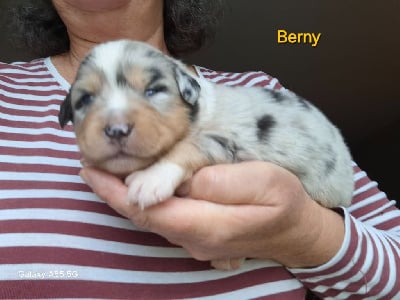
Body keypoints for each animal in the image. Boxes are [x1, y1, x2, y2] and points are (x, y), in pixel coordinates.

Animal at [58, 39, 354, 270]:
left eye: (153, 90)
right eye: (85, 100)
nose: (116, 130)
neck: (197, 113)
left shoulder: (230, 141)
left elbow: (188, 146)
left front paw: (150, 179)